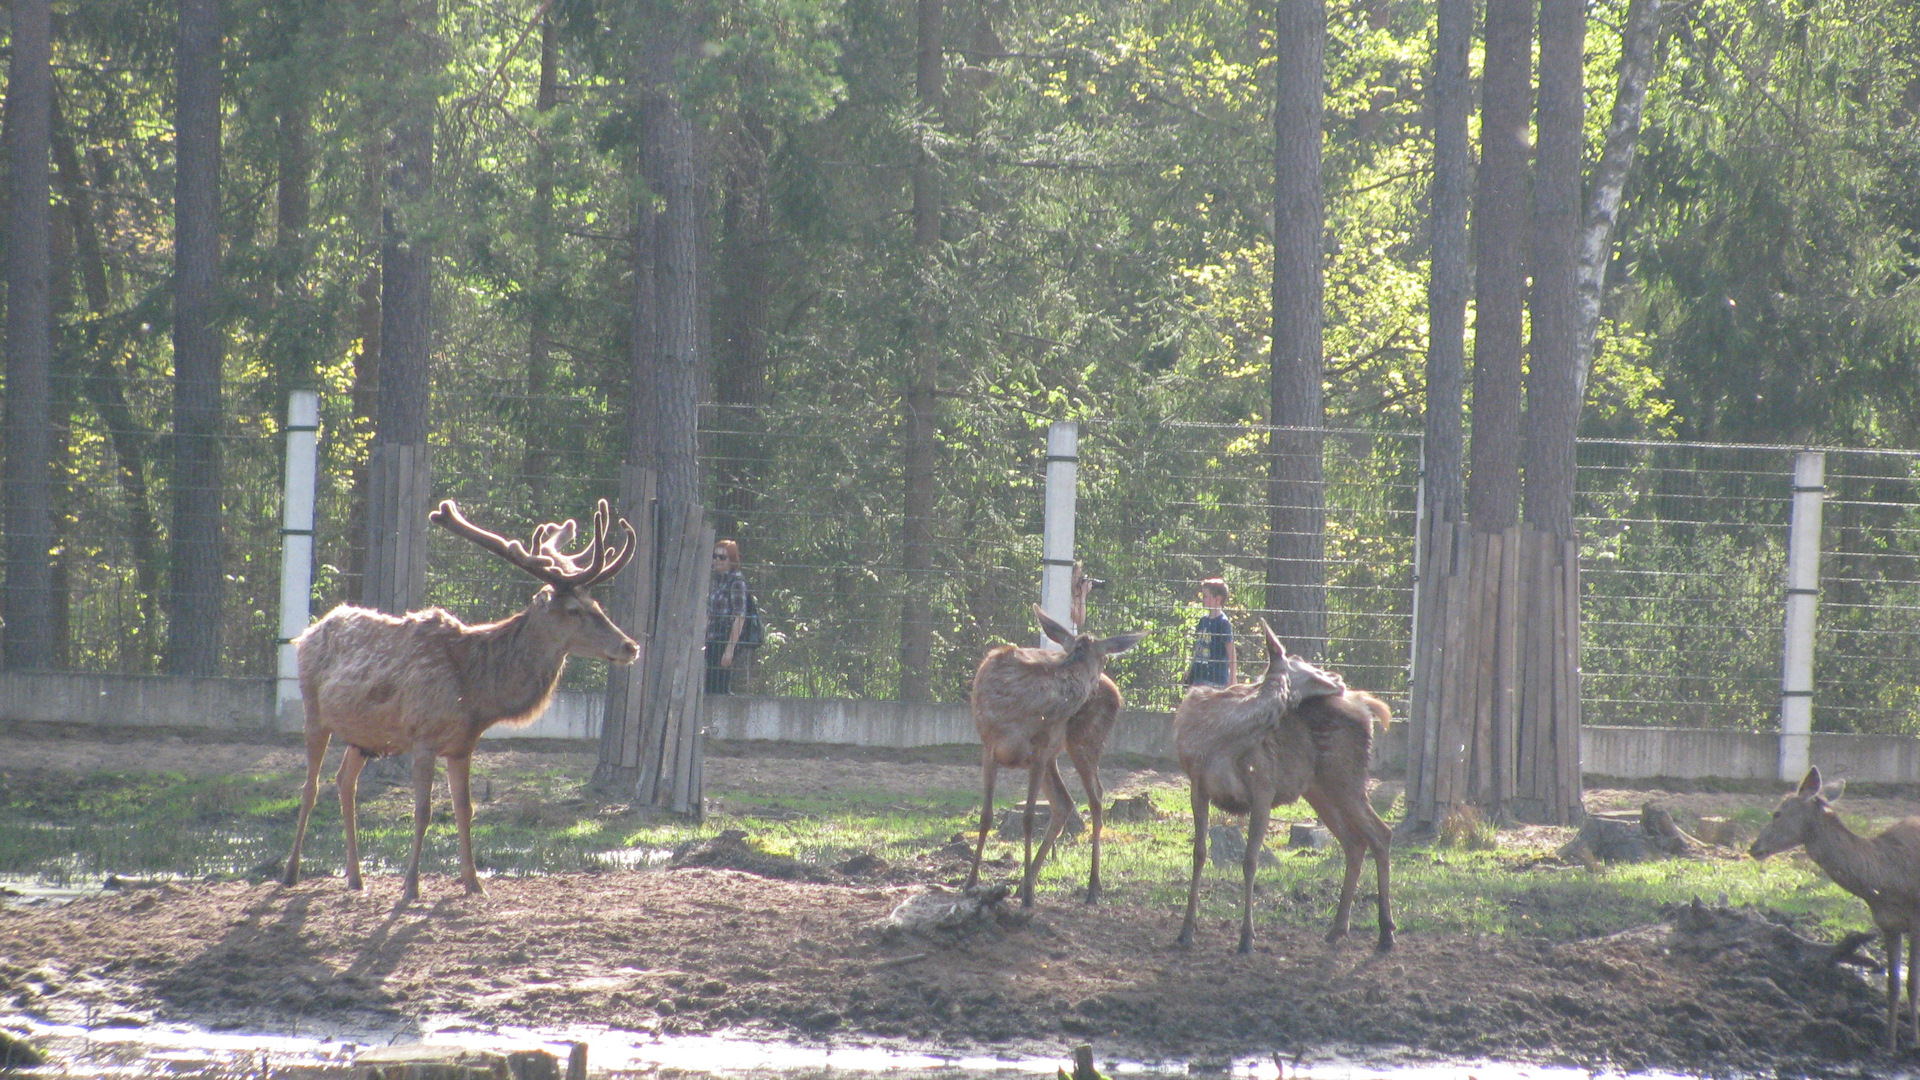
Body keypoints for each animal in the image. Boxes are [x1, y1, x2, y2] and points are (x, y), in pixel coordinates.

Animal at [280, 495, 637, 899]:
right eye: (575, 611)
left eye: (597, 606)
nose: (630, 646)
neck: (476, 693)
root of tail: (308, 631)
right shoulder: (422, 737)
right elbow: (423, 811)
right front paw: (411, 887)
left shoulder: (464, 745)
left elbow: (465, 809)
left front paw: (473, 882)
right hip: (312, 707)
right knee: (310, 787)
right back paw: (290, 871)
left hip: (364, 736)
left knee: (344, 782)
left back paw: (356, 878)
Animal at [960, 599, 1136, 903]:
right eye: (1104, 658)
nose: (1096, 684)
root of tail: (1115, 691)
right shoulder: (989, 746)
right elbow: (986, 816)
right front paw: (970, 882)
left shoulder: (1040, 753)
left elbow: (1029, 818)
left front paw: (1030, 897)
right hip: (1056, 755)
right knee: (1065, 802)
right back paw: (1025, 880)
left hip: (1085, 741)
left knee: (1096, 798)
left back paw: (1092, 886)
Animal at [1167, 618, 1397, 953]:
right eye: (1301, 660)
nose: (1337, 677)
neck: (1221, 741)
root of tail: (1366, 707)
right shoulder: (1198, 786)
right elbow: (1199, 853)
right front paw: (1186, 930)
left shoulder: (1263, 787)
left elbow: (1250, 860)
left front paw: (1247, 937)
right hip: (1320, 788)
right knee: (1355, 841)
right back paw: (1338, 929)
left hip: (1346, 776)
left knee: (1380, 832)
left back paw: (1386, 933)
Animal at [1751, 760, 1912, 1045]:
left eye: (1777, 813)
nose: (1753, 848)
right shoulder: (1889, 924)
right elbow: (1894, 984)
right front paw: (1889, 1045)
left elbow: (1912, 985)